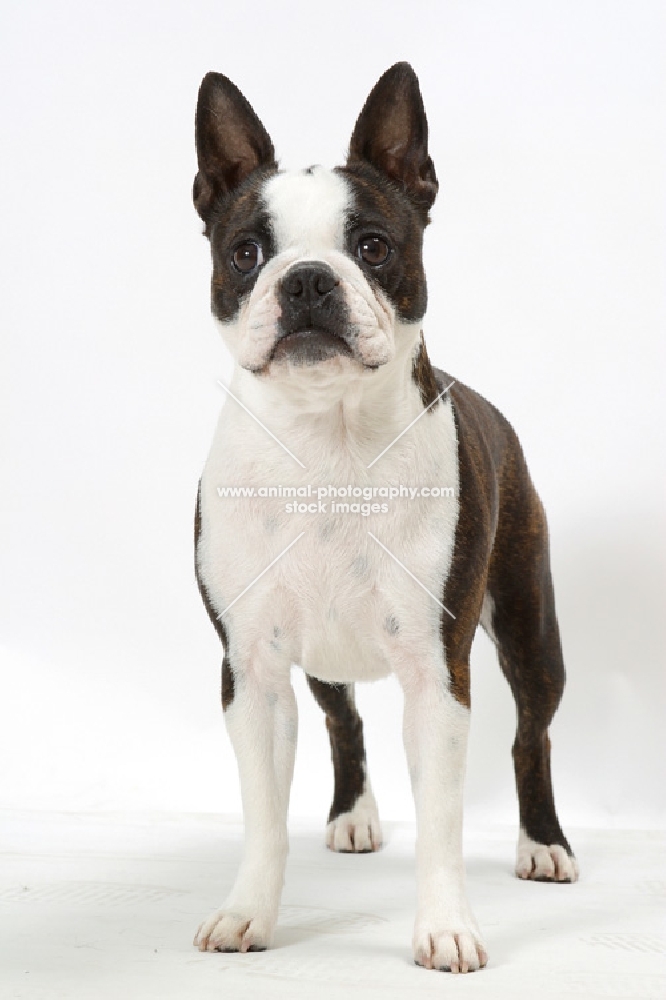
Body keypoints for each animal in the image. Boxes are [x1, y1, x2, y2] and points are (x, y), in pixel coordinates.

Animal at [189, 60, 572, 968]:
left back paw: (543, 844)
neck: (325, 439)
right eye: (245, 253)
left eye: (372, 246)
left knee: (531, 733)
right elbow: (264, 815)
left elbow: (441, 821)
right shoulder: (252, 670)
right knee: (343, 719)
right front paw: (248, 912)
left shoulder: (438, 672)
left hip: (532, 629)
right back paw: (352, 818)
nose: (306, 278)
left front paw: (446, 927)